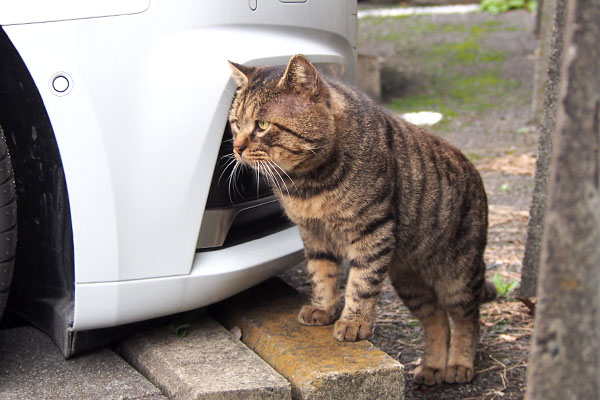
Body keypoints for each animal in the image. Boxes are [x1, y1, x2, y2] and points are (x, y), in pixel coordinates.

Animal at [227, 54, 494, 386]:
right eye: (236, 123)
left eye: (262, 125)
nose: (236, 147)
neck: (309, 185)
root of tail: (475, 173)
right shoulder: (313, 234)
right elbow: (322, 273)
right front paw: (323, 308)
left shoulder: (372, 229)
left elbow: (362, 281)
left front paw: (354, 322)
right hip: (410, 283)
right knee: (437, 320)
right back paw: (433, 367)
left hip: (458, 274)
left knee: (467, 318)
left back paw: (458, 363)